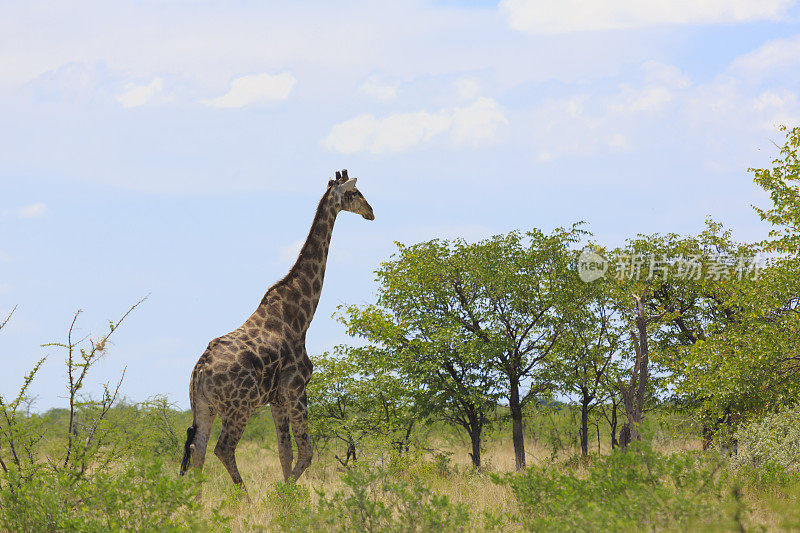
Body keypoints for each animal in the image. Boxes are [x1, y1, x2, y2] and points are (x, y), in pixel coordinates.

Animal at [180, 171, 374, 490]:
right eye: (356, 192)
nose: (371, 212)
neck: (301, 316)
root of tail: (199, 372)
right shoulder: (296, 388)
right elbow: (306, 453)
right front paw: (284, 493)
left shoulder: (277, 399)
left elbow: (285, 452)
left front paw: (289, 495)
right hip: (240, 407)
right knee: (224, 449)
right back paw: (244, 497)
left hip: (204, 407)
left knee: (198, 451)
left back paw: (193, 500)